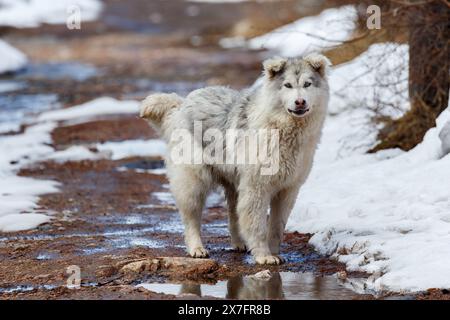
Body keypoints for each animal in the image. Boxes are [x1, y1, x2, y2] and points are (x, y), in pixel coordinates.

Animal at [141, 53, 330, 264]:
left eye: (307, 84)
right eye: (287, 85)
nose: (300, 102)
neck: (280, 127)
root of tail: (181, 105)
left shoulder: (288, 190)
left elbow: (277, 227)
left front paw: (274, 252)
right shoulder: (257, 187)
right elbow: (257, 226)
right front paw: (264, 256)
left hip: (234, 183)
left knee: (233, 215)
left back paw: (239, 244)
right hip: (193, 183)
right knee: (191, 220)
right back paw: (197, 249)